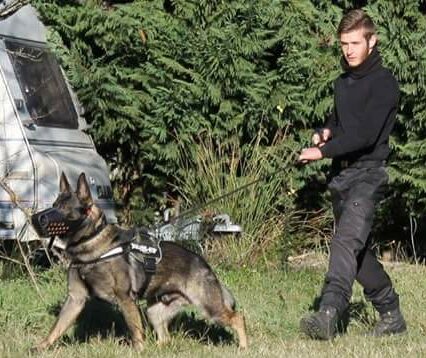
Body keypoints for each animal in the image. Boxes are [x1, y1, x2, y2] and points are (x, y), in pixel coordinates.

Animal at [33, 172, 248, 352]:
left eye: (64, 209)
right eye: (54, 204)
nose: (37, 219)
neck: (92, 246)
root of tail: (203, 263)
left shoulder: (125, 299)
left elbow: (135, 330)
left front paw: (139, 351)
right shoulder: (75, 299)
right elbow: (56, 328)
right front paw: (41, 347)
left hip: (210, 308)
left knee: (238, 318)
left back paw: (244, 347)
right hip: (154, 312)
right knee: (165, 338)